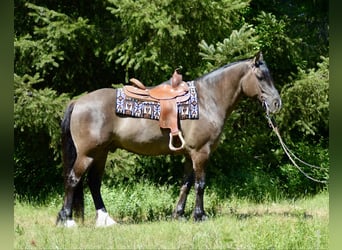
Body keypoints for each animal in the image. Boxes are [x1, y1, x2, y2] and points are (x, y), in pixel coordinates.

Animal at [55, 51, 280, 227]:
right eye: (261, 76)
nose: (277, 103)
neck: (207, 100)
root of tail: (77, 101)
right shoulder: (201, 152)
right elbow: (200, 184)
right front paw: (200, 216)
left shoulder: (190, 155)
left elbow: (186, 184)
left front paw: (178, 214)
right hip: (87, 154)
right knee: (73, 180)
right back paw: (67, 219)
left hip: (101, 153)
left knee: (94, 183)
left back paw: (105, 219)